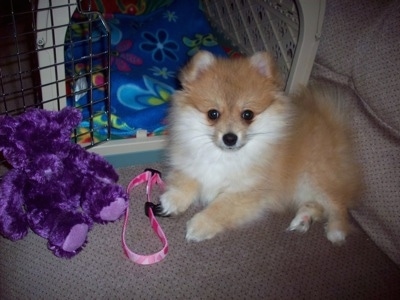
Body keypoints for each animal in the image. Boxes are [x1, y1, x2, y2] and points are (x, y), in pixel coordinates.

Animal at [159, 51, 362, 244]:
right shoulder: (192, 164)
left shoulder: (246, 192)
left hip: (317, 177)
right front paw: (173, 200)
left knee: (338, 205)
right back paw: (303, 219)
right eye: (213, 114)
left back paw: (336, 230)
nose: (230, 138)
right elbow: (186, 180)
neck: (224, 156)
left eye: (247, 114)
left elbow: (220, 208)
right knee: (318, 206)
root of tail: (332, 123)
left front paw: (200, 225)